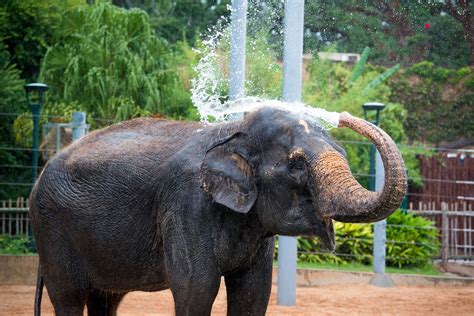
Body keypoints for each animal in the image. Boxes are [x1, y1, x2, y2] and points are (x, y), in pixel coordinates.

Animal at [30, 107, 408, 314]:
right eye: (297, 164)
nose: (343, 116)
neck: (233, 132)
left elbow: (253, 295)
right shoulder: (187, 205)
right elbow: (196, 291)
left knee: (106, 299)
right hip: (51, 228)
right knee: (69, 298)